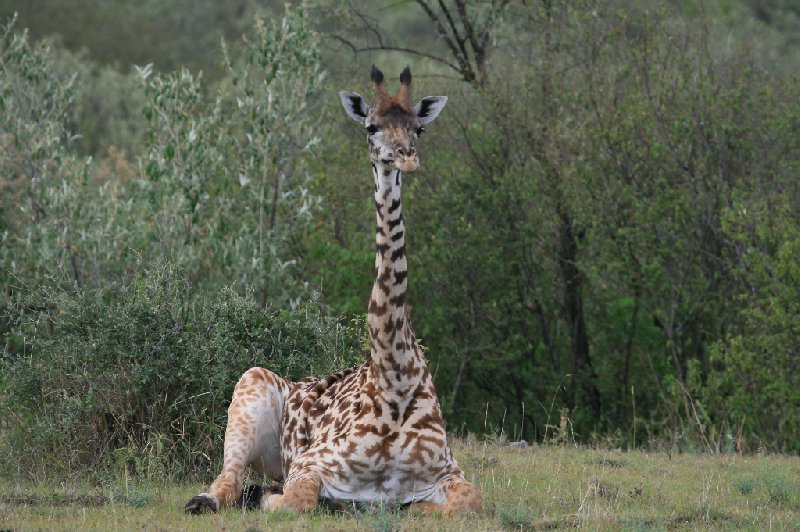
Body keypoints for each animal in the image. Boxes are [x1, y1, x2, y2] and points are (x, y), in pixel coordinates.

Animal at [184, 65, 478, 516]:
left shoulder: (447, 471)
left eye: (419, 128)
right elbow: (294, 501)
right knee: (227, 483)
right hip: (250, 386)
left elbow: (468, 501)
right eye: (371, 126)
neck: (395, 379)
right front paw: (277, 499)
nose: (407, 157)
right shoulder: (311, 463)